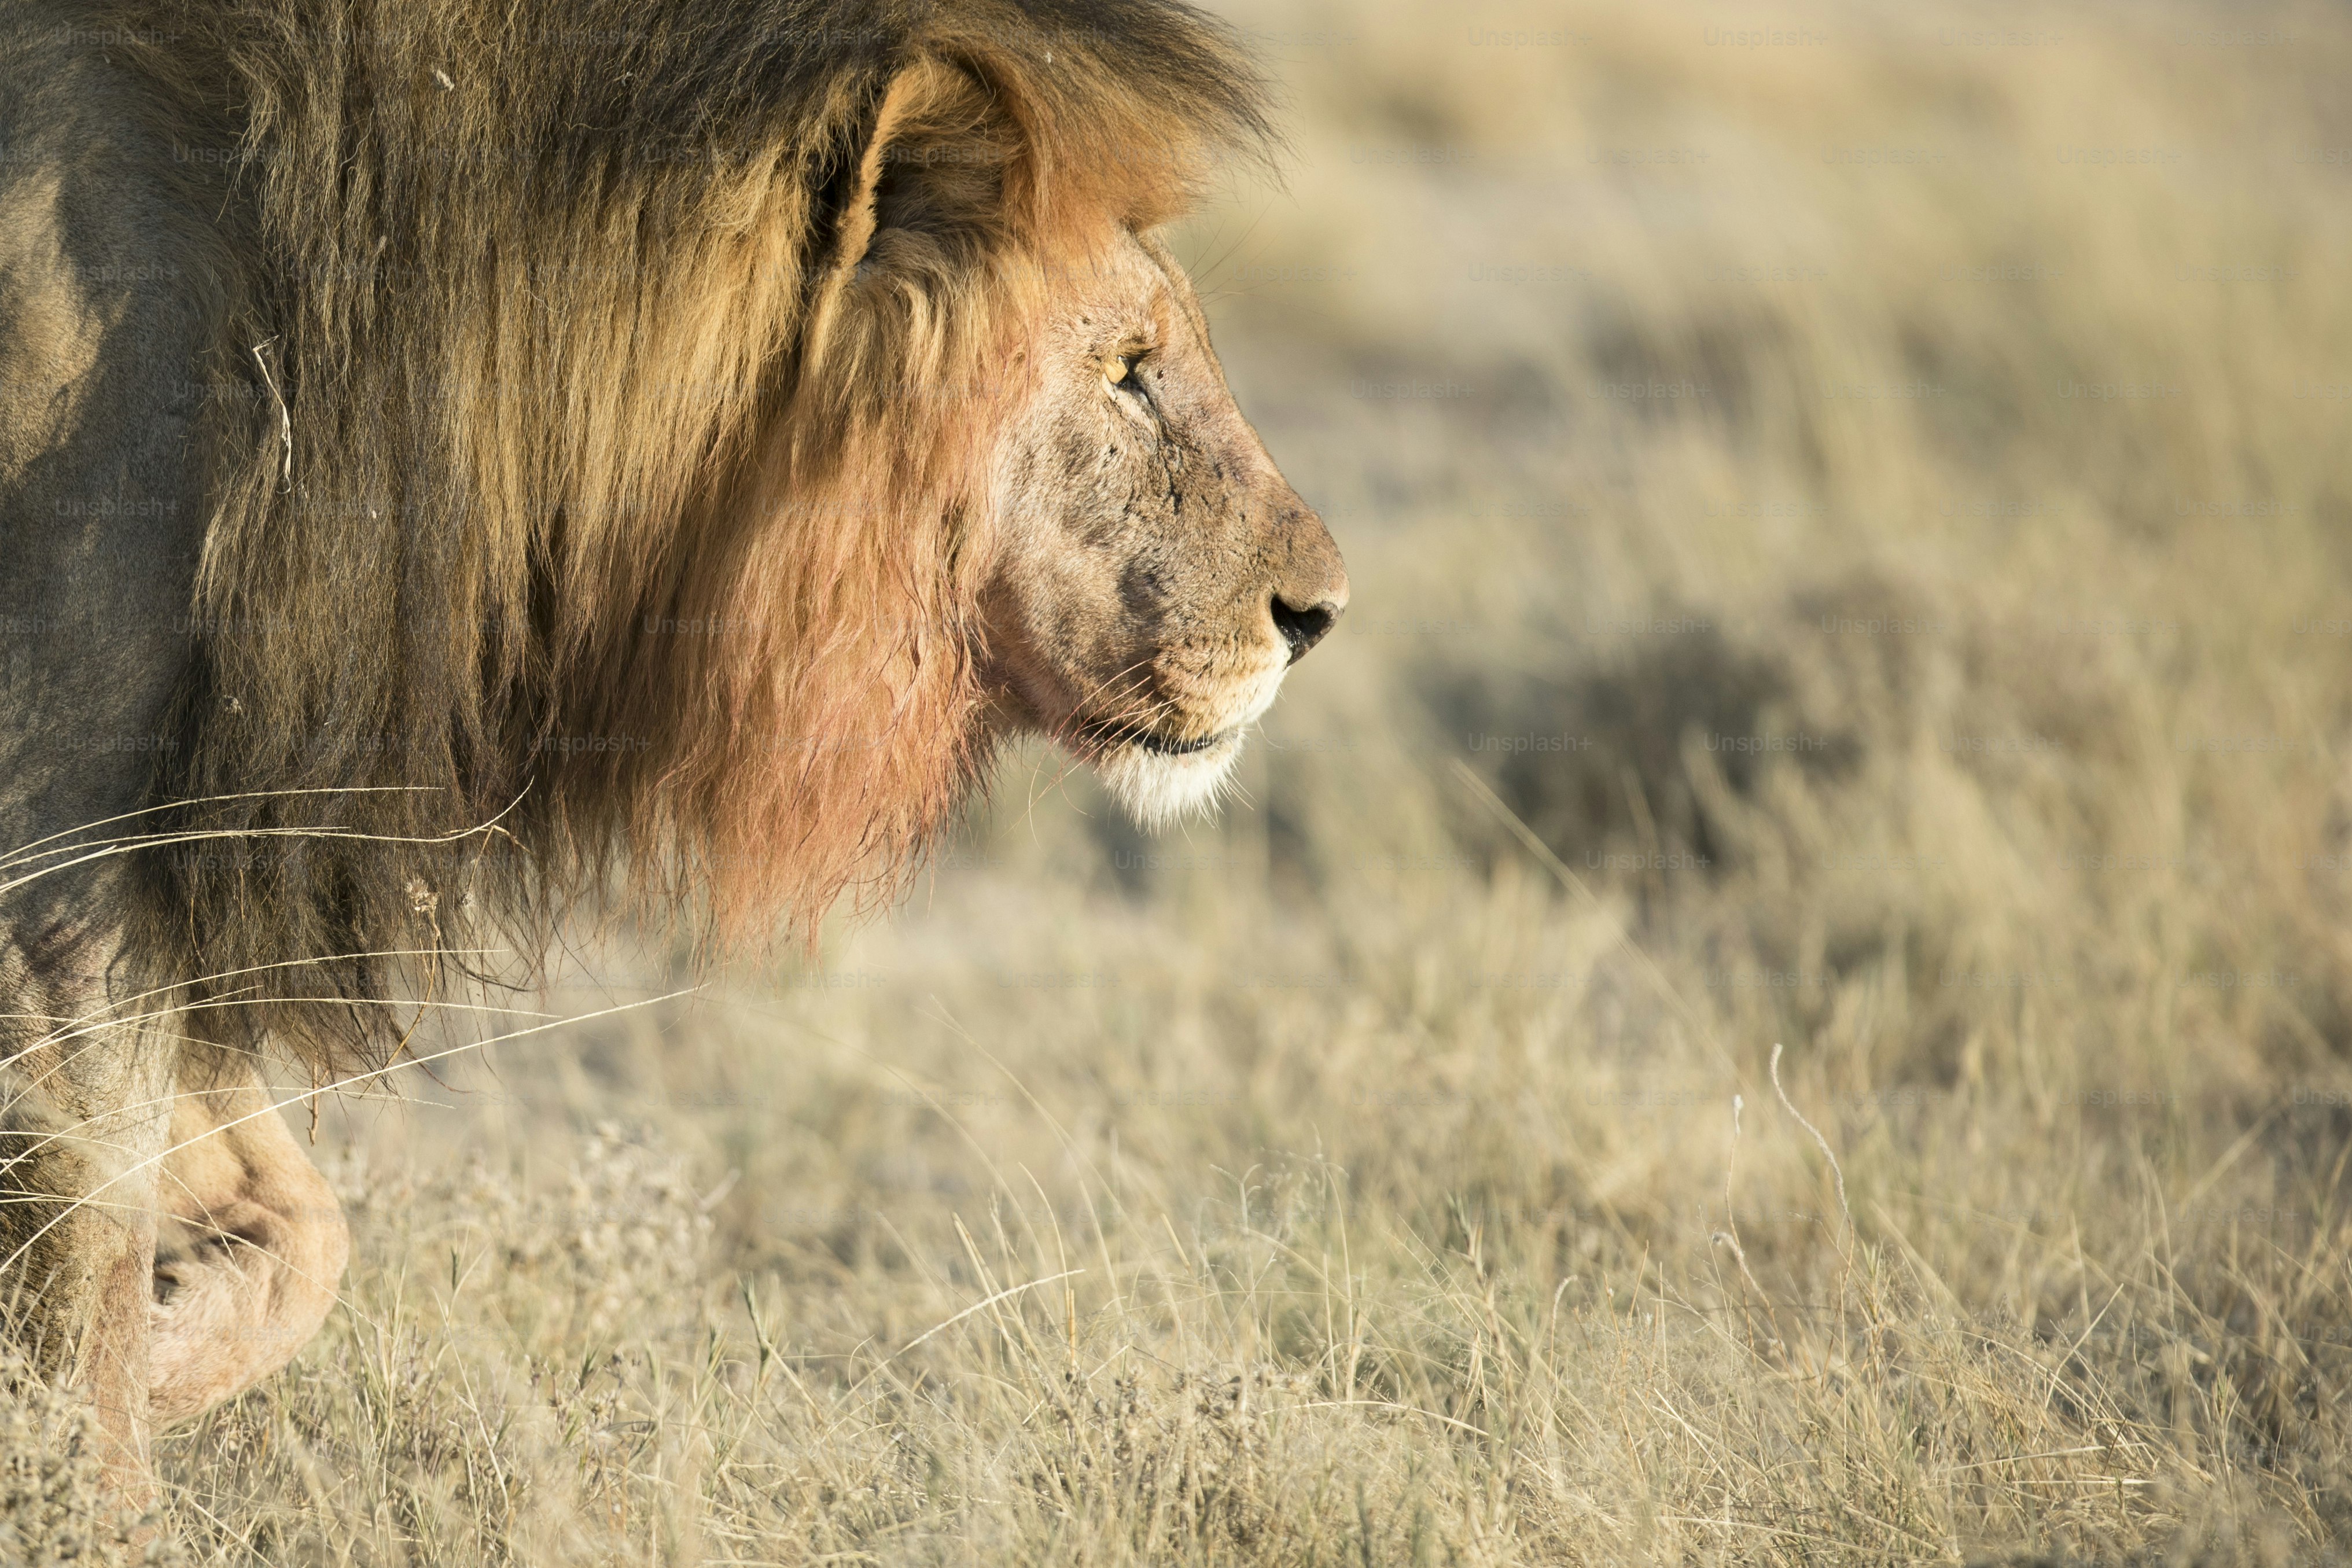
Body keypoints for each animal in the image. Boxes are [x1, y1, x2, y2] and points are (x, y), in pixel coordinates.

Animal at [0, 0, 1346, 1492]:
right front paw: (84, 1462)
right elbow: (93, 1249)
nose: (1320, 611)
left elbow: (289, 1235)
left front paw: (148, 1343)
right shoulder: (58, 875)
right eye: (1124, 369)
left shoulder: (145, 864)